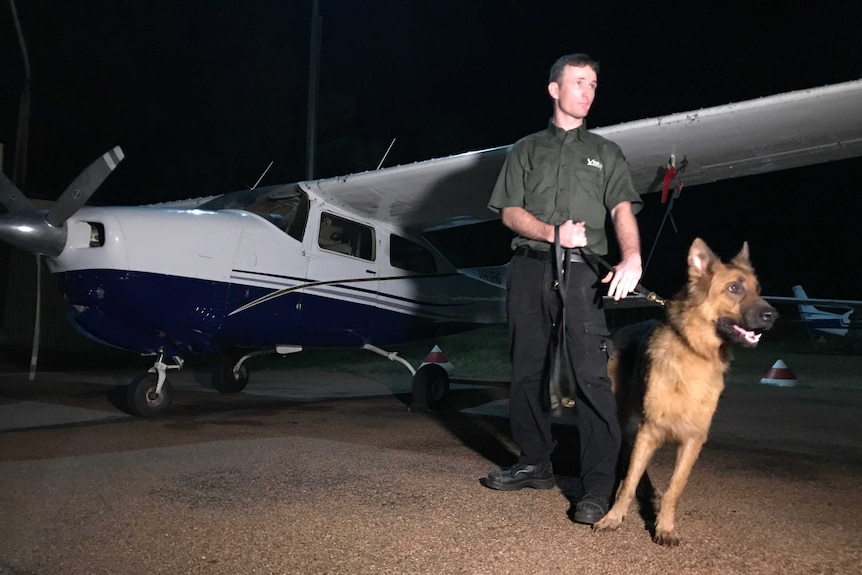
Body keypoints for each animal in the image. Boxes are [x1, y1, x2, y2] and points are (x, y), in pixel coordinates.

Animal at [596, 237, 780, 544]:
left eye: (758, 290)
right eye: (734, 288)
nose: (773, 315)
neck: (696, 352)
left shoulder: (693, 440)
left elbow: (675, 489)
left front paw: (665, 527)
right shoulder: (649, 430)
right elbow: (628, 481)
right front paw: (613, 517)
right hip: (622, 419)